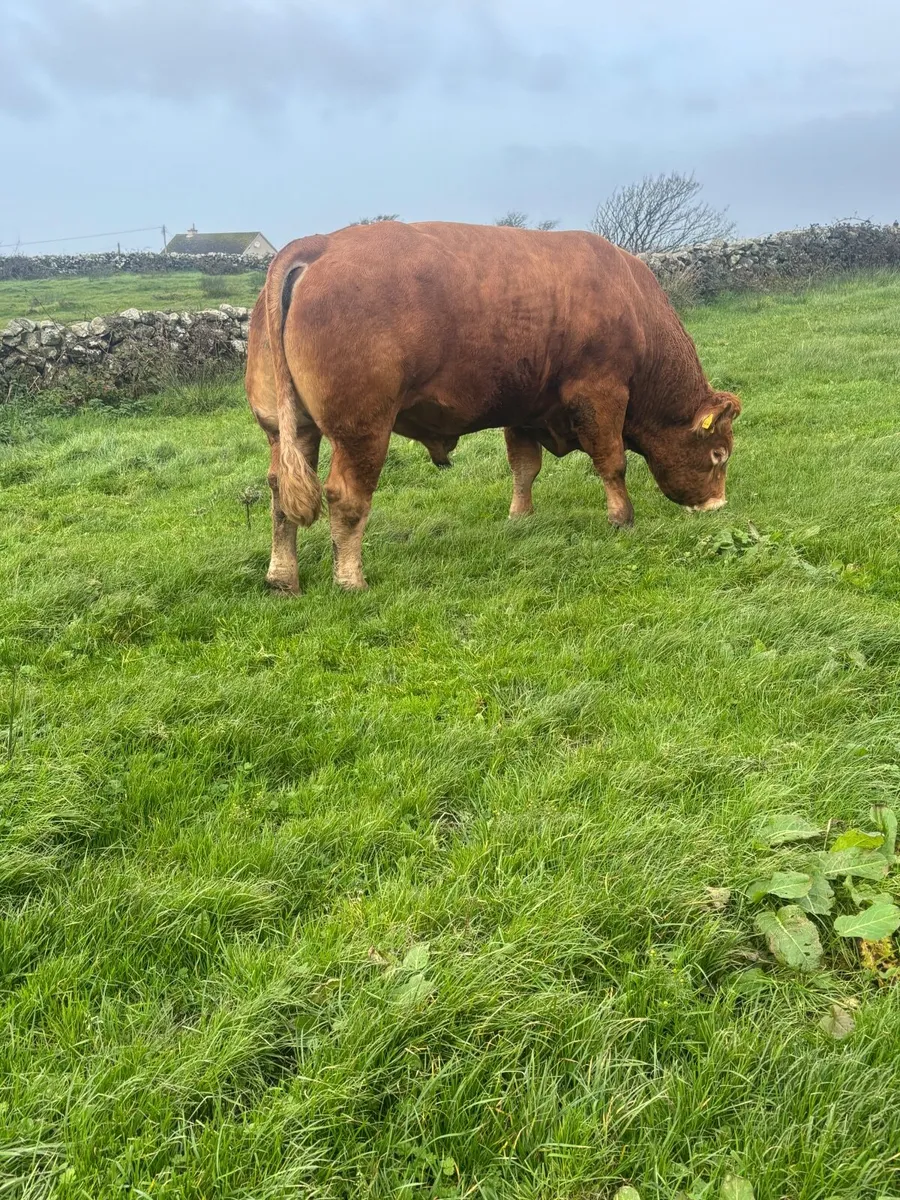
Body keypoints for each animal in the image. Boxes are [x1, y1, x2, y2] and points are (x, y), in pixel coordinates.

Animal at [245, 221, 740, 593]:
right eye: (719, 454)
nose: (718, 505)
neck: (633, 304)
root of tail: (320, 244)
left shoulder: (523, 407)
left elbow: (524, 467)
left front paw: (520, 518)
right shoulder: (601, 394)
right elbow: (612, 462)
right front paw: (622, 519)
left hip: (287, 429)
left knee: (279, 492)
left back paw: (282, 578)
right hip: (362, 430)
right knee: (346, 498)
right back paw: (351, 581)